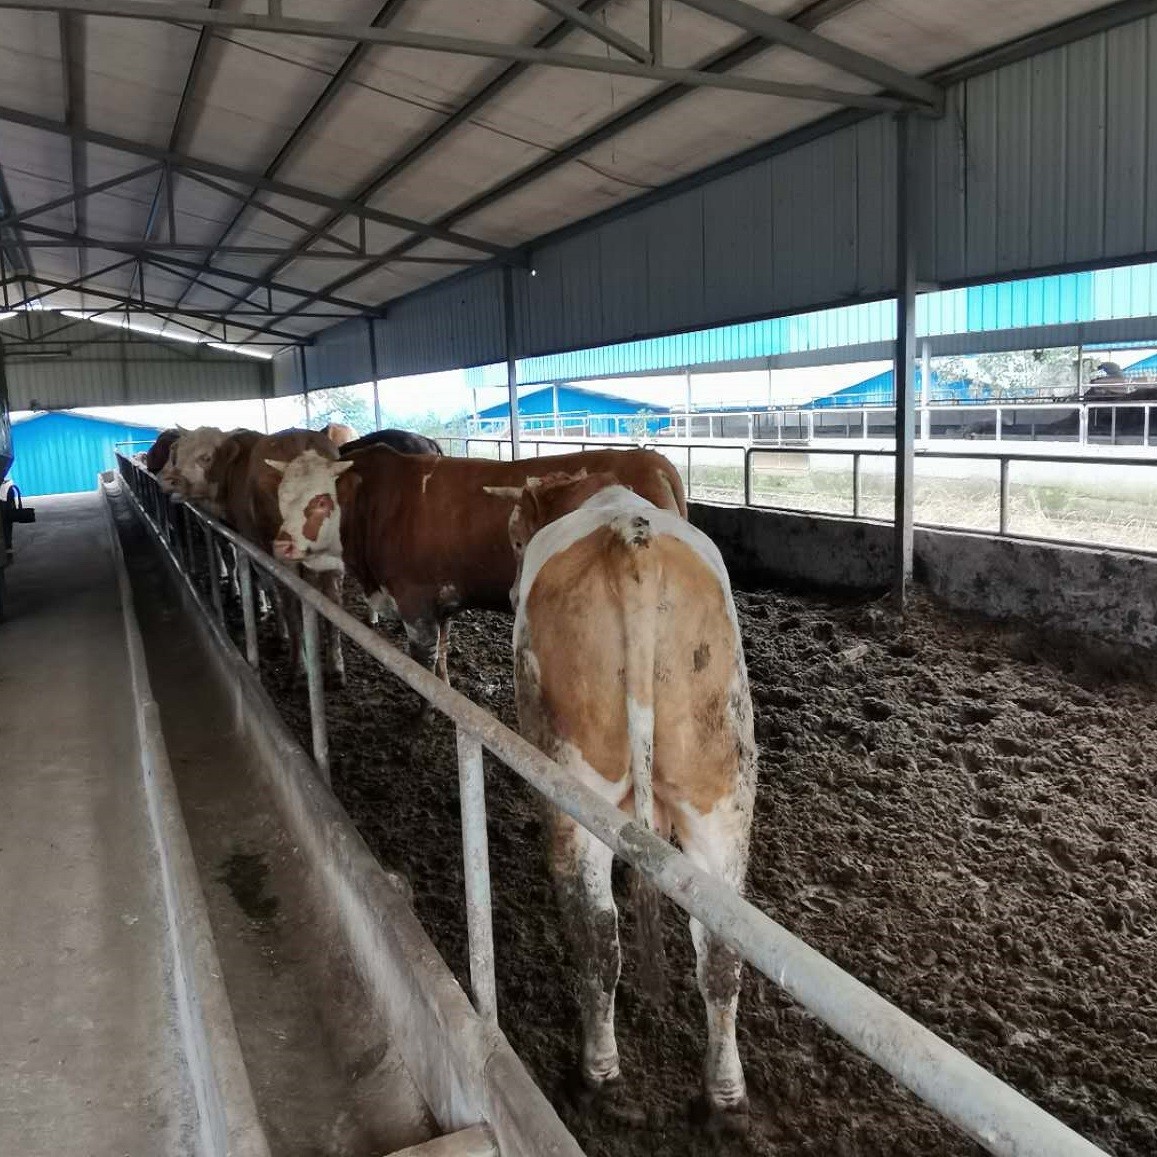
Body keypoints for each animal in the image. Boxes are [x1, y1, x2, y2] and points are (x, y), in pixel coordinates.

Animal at [264, 446, 686, 682]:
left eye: (321, 500)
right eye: (281, 496)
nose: (281, 542)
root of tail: (649, 456)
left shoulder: (415, 603)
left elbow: (423, 663)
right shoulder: (443, 599)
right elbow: (443, 652)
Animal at [496, 470, 756, 1130]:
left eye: (515, 537)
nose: (508, 589)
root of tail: (630, 543)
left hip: (574, 789)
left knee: (596, 931)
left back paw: (598, 1072)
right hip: (721, 787)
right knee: (721, 949)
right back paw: (725, 1096)